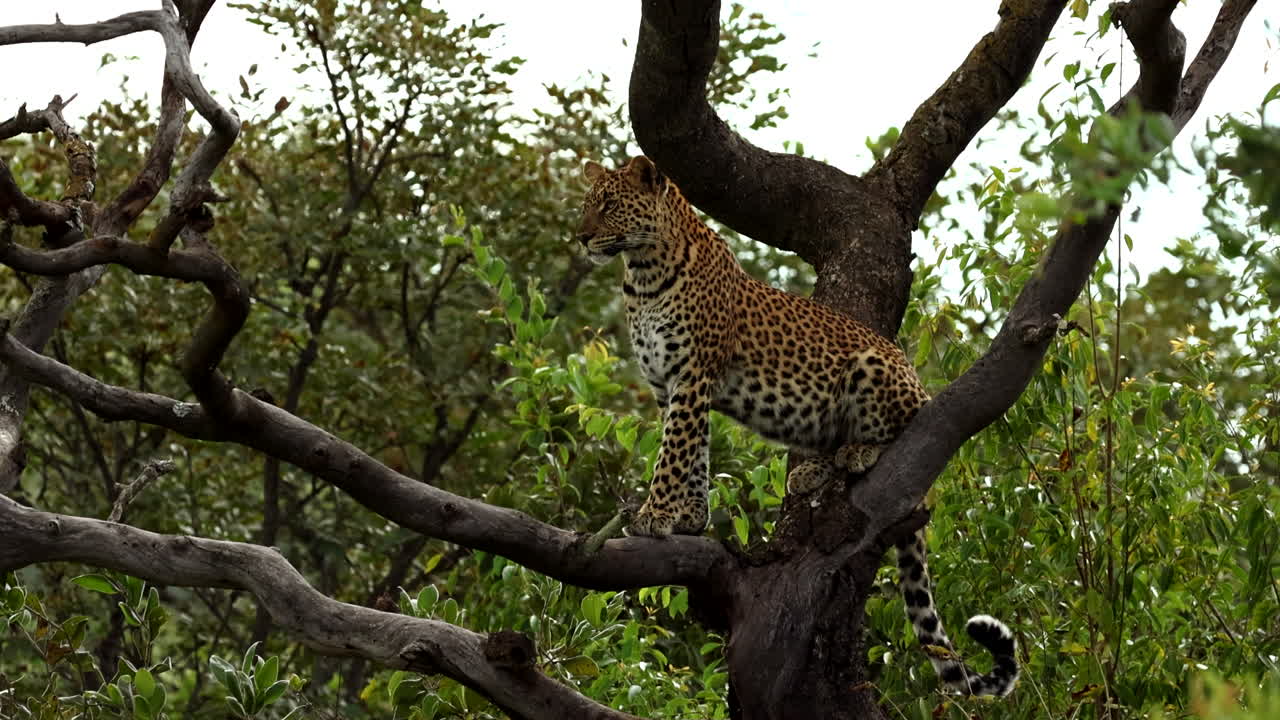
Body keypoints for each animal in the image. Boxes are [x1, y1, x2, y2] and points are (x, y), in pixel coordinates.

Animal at [574, 155, 1018, 696]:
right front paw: (691, 516)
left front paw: (653, 514)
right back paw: (811, 472)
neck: (642, 273)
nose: (580, 237)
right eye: (587, 205)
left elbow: (673, 454)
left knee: (906, 425)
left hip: (877, 369)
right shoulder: (668, 385)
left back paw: (859, 452)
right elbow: (693, 452)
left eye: (609, 205)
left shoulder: (692, 374)